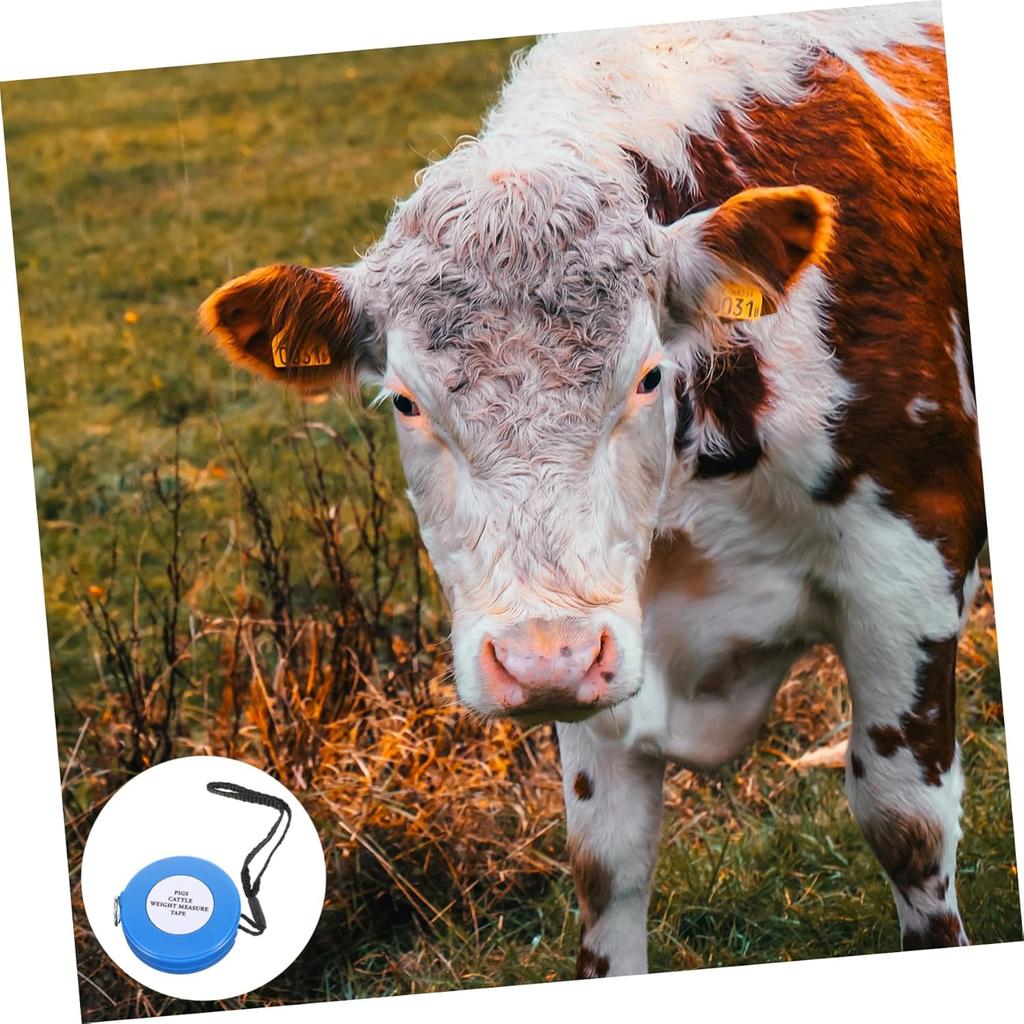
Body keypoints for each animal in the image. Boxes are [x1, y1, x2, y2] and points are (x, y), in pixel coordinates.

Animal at [200, 1, 985, 977]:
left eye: (647, 376)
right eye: (408, 401)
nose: (544, 661)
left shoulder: (909, 566)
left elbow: (905, 825)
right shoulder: (600, 645)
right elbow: (606, 863)